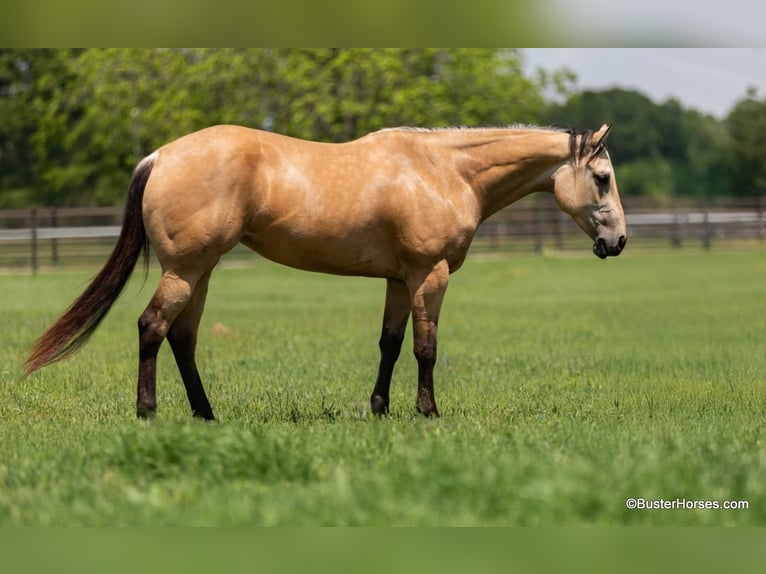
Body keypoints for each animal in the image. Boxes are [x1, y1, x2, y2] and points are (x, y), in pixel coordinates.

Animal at [24, 123, 626, 419]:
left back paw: (205, 414)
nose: (617, 241)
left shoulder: (399, 279)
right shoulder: (429, 275)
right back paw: (148, 412)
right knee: (152, 328)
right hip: (186, 269)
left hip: (200, 272)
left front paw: (380, 409)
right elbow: (425, 348)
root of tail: (160, 156)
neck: (443, 170)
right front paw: (428, 412)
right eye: (601, 178)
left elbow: (389, 344)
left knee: (183, 338)